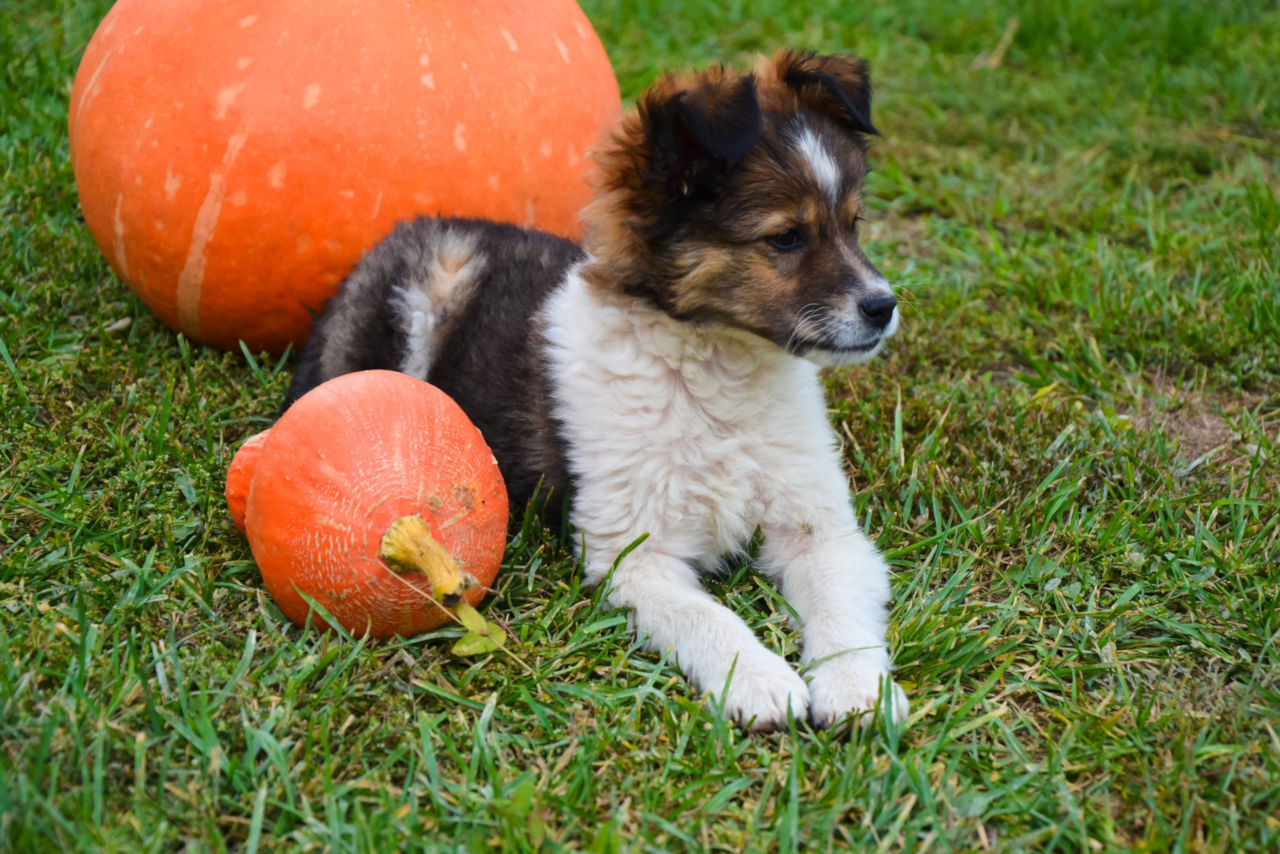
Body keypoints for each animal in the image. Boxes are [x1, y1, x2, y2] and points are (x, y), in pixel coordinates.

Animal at [286, 46, 916, 732]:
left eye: (853, 224)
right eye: (785, 238)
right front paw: (759, 680)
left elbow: (841, 611)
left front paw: (858, 687)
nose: (883, 308)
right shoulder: (632, 553)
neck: (723, 373)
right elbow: (709, 617)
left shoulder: (821, 530)